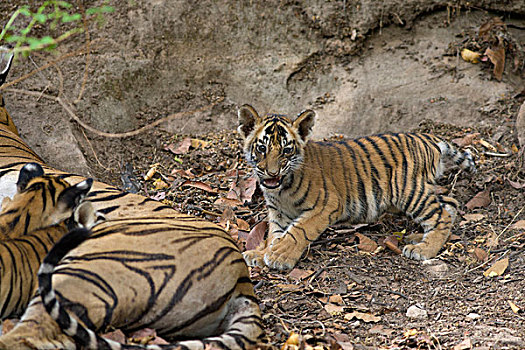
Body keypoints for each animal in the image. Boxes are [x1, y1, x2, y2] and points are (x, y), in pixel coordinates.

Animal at [237, 104, 474, 270]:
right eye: (261, 148)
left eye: (286, 150)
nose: (272, 173)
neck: (281, 189)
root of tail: (427, 137)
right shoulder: (278, 211)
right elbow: (275, 233)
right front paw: (262, 253)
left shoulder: (327, 205)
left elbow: (298, 231)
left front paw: (279, 255)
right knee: (449, 202)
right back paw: (418, 237)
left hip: (408, 191)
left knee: (441, 213)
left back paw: (424, 248)